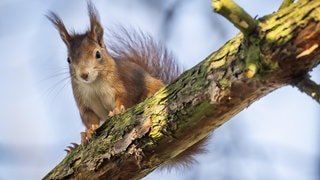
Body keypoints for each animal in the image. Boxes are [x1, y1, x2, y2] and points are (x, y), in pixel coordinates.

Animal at [47, 1, 208, 170]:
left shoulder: (123, 84)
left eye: (97, 54)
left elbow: (124, 98)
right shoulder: (83, 102)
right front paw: (87, 133)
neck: (94, 83)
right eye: (68, 60)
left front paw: (117, 111)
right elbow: (89, 118)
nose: (84, 75)